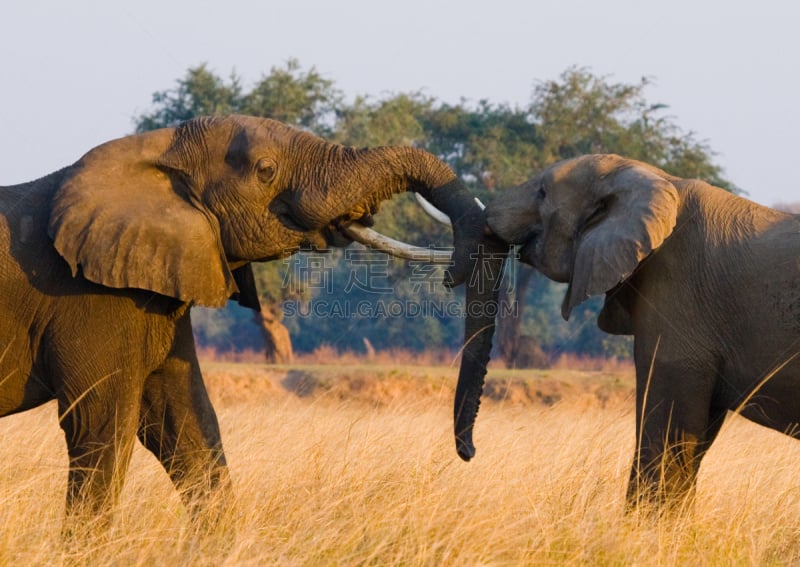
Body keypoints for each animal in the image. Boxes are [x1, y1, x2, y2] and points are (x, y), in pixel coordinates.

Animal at [0, 115, 504, 528]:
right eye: (265, 170)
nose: (468, 452)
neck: (158, 149)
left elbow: (187, 426)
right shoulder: (90, 297)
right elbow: (101, 429)